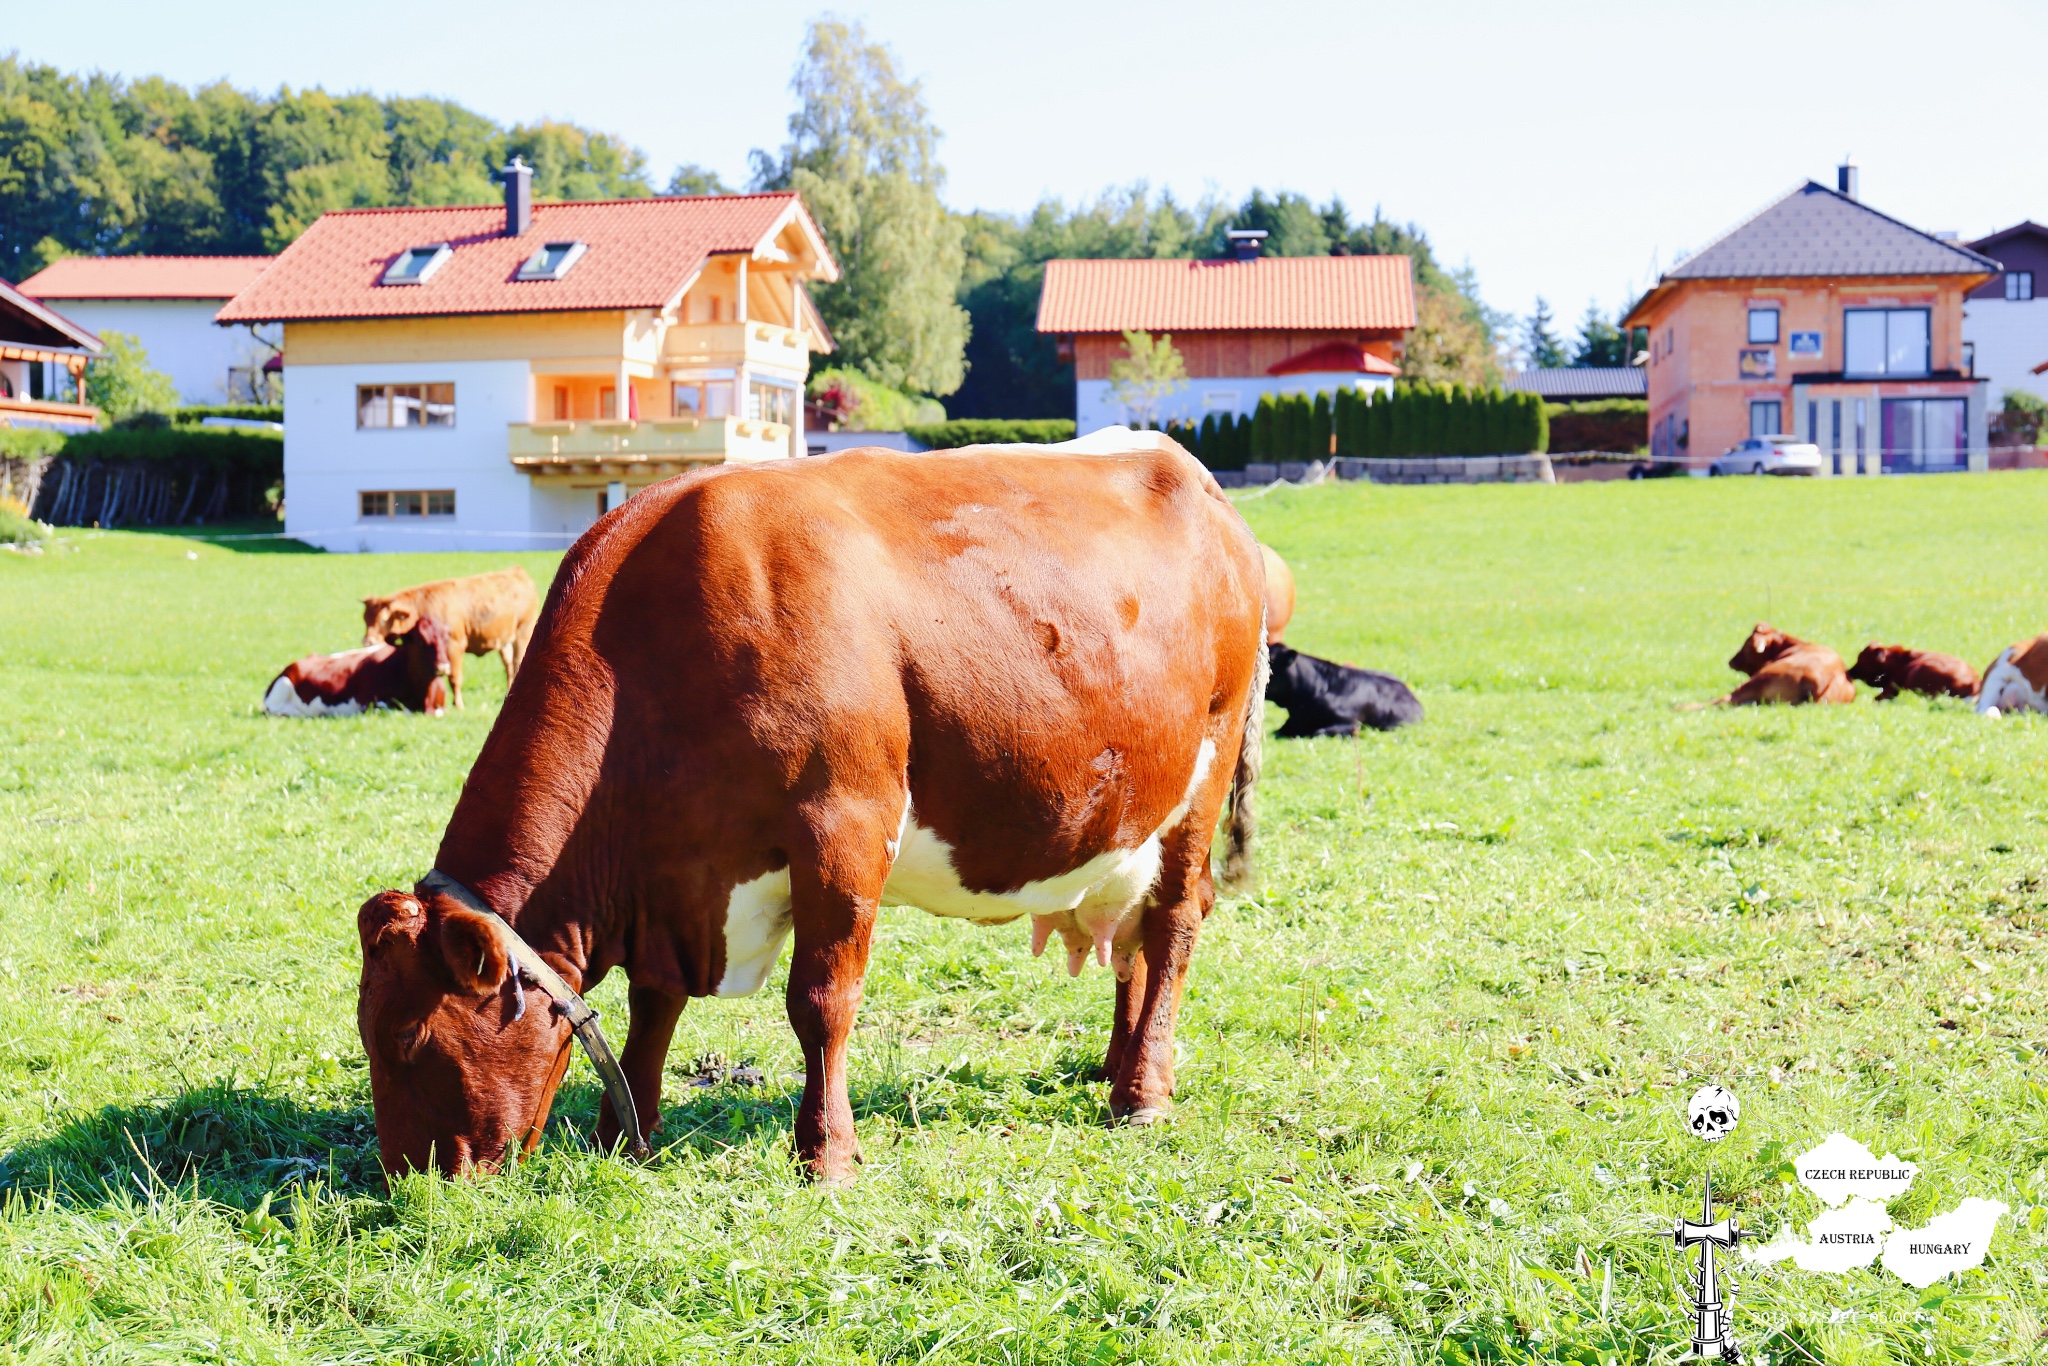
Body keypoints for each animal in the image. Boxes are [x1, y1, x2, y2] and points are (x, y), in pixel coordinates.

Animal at [266, 618, 454, 720]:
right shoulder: (370, 704)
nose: (443, 666)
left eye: (446, 639)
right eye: (420, 640)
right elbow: (403, 710)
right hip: (280, 694)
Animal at [362, 569, 540, 716]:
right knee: (508, 664)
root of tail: (517, 571)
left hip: (523, 632)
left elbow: (455, 677)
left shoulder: (455, 646)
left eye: (383, 620)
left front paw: (459, 705)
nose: (367, 641)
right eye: (365, 619)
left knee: (517, 662)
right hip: (504, 641)